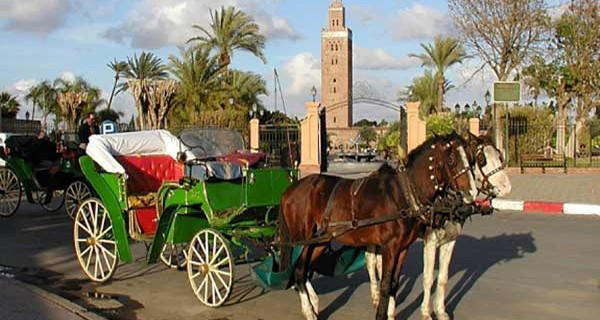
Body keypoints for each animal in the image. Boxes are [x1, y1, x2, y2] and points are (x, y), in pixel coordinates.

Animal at [278, 132, 480, 320]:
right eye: (452, 159)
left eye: (471, 158)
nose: (472, 192)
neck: (403, 195)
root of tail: (289, 191)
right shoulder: (390, 247)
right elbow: (385, 284)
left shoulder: (403, 248)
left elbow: (394, 284)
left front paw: (390, 314)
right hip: (303, 239)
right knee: (299, 270)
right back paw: (309, 310)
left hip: (320, 240)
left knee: (304, 270)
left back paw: (313, 304)